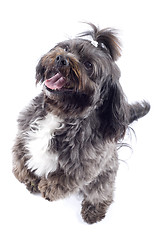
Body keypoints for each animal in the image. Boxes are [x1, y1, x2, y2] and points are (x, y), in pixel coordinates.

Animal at [12, 23, 150, 224]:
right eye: (66, 48)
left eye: (88, 65)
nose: (61, 58)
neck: (59, 114)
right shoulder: (24, 132)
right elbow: (20, 156)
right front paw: (28, 177)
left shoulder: (86, 165)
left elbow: (64, 178)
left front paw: (49, 188)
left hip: (105, 175)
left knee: (101, 191)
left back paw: (94, 209)